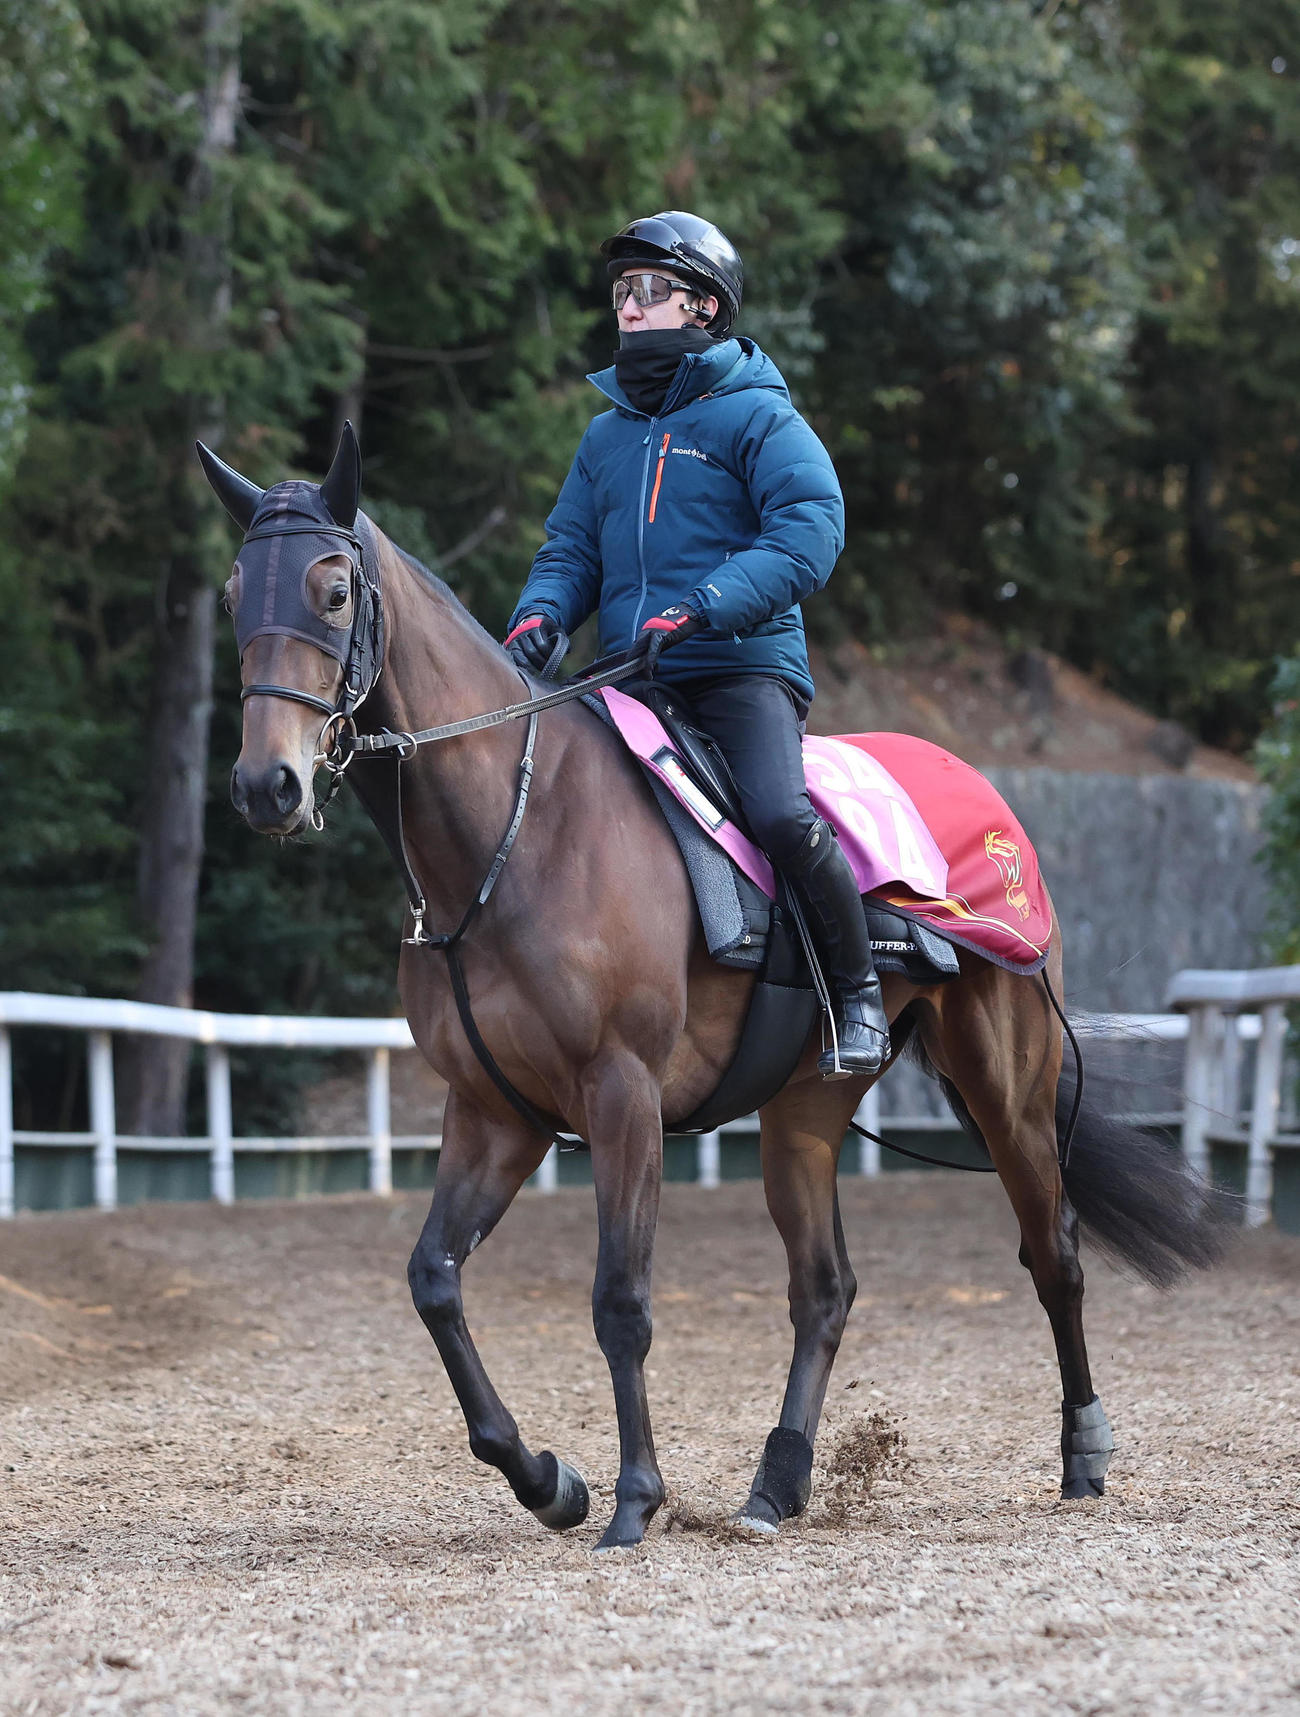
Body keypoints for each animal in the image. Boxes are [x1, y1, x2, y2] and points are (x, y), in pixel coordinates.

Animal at [199, 426, 1227, 1550]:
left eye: (333, 589)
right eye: (233, 594)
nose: (266, 785)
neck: (520, 829)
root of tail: (988, 805)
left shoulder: (622, 1094)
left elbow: (621, 1300)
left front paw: (633, 1497)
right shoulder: (492, 1111)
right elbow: (434, 1281)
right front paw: (548, 1479)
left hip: (1009, 1086)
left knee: (1054, 1254)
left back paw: (1082, 1452)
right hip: (804, 1109)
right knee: (824, 1290)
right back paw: (776, 1485)